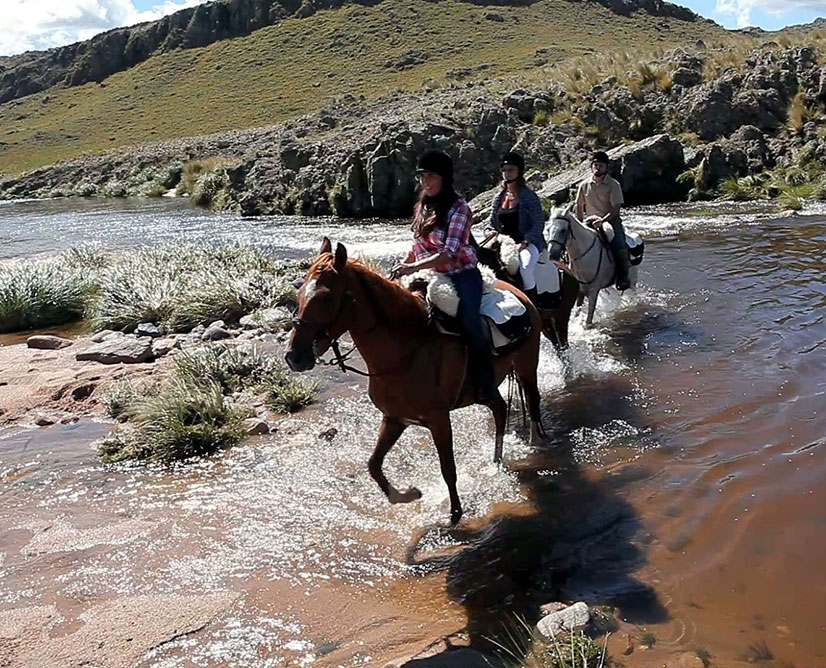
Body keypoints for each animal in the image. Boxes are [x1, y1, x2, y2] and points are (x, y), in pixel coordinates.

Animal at [286, 240, 544, 528]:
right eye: (300, 293)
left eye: (326, 297)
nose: (294, 357)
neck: (408, 348)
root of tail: (518, 293)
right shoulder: (395, 419)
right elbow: (373, 465)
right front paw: (408, 494)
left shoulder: (438, 419)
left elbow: (448, 468)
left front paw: (455, 514)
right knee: (500, 410)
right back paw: (495, 464)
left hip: (526, 366)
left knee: (532, 402)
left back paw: (535, 444)